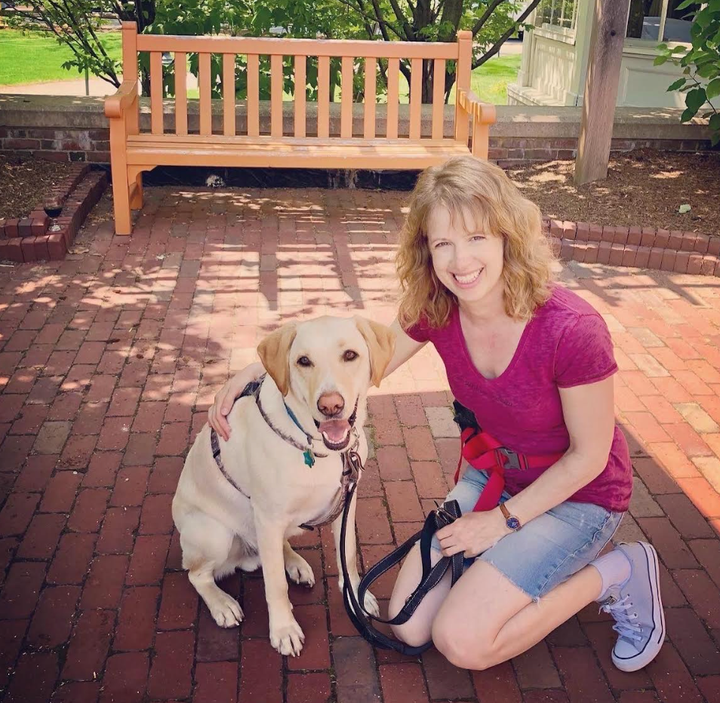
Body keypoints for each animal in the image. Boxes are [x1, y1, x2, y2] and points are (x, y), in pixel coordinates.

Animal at [171, 316, 394, 656]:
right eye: (303, 361)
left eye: (350, 355)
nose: (331, 406)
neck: (317, 446)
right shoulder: (268, 516)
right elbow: (275, 584)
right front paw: (284, 629)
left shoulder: (347, 501)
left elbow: (348, 553)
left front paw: (355, 594)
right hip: (215, 533)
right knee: (197, 575)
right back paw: (222, 604)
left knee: (276, 549)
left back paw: (295, 563)